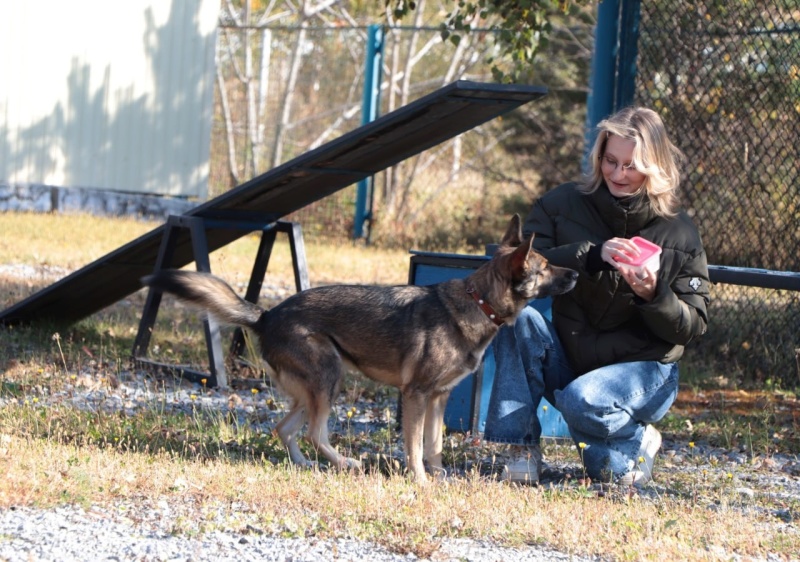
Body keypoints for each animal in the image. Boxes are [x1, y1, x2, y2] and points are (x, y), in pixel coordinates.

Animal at [139, 214, 576, 482]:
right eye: (545, 267)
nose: (575, 272)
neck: (479, 301)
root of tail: (266, 315)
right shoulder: (416, 396)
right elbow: (414, 446)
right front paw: (420, 480)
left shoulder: (437, 399)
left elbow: (434, 444)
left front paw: (438, 475)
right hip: (329, 379)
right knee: (315, 433)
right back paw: (343, 462)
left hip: (314, 390)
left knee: (285, 429)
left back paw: (305, 465)